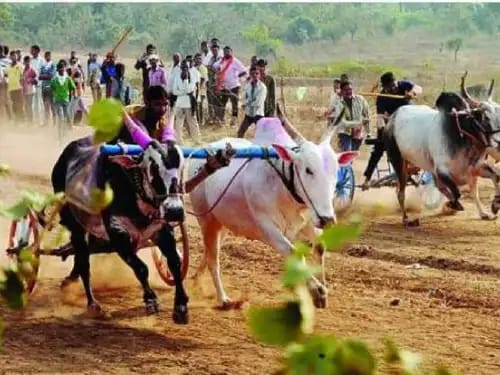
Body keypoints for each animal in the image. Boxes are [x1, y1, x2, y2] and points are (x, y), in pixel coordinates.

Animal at [51, 137, 189, 324]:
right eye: (152, 167)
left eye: (181, 167)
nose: (174, 210)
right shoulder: (118, 236)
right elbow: (141, 268)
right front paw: (151, 300)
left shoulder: (162, 230)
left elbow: (175, 263)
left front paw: (181, 307)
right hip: (75, 226)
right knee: (84, 262)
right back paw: (93, 305)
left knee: (81, 257)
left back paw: (70, 280)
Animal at [187, 106, 356, 308]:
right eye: (308, 169)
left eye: (336, 171)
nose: (327, 219)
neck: (284, 186)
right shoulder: (268, 229)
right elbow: (294, 253)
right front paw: (317, 291)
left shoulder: (309, 220)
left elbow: (319, 248)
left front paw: (318, 291)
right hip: (205, 218)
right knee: (214, 258)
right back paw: (223, 298)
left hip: (222, 222)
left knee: (210, 251)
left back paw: (197, 280)